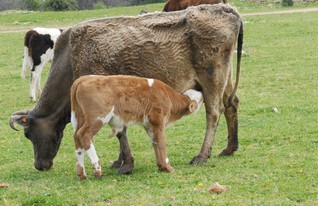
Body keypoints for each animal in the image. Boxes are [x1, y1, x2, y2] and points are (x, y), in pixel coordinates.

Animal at [9, 4, 243, 173]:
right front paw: (120, 161)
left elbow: (121, 131)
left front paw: (127, 164)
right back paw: (229, 148)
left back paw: (202, 155)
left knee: (214, 113)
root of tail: (225, 9)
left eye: (29, 134)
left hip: (211, 77)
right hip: (226, 77)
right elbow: (120, 129)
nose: (39, 165)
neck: (71, 56)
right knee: (231, 104)